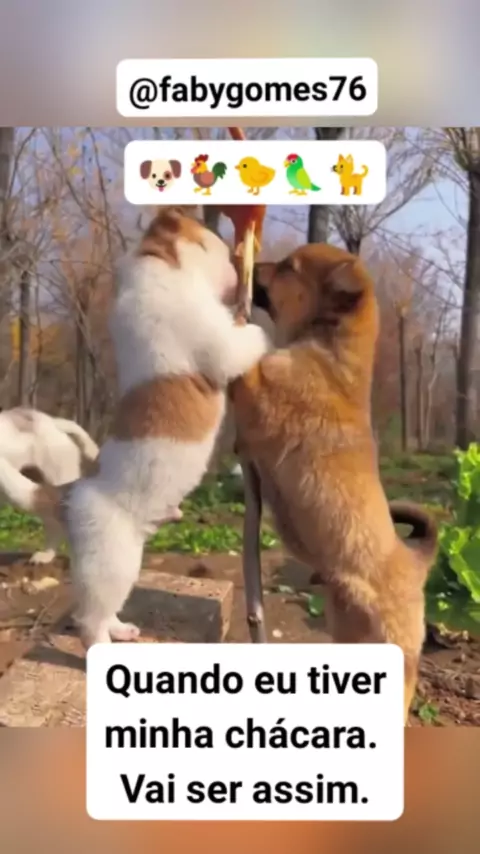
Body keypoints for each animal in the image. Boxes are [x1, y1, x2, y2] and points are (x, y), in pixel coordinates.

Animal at [23, 208, 269, 648]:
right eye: (215, 243)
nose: (239, 262)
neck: (158, 264)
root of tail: (72, 493)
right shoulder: (221, 346)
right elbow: (245, 339)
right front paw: (251, 317)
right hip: (111, 565)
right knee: (89, 622)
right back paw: (102, 645)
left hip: (124, 565)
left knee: (104, 613)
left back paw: (122, 630)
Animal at [229, 243, 438, 724]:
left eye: (289, 267)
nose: (251, 264)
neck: (328, 350)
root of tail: (415, 564)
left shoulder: (264, 391)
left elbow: (249, 365)